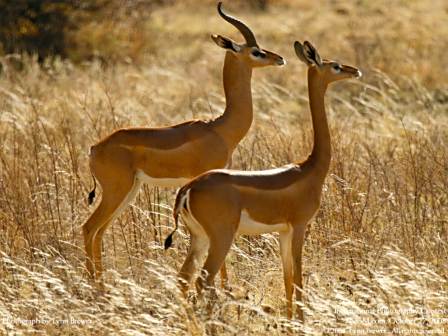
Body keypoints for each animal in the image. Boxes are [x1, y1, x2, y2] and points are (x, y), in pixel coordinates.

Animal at [81, 2, 284, 280]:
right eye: (256, 51)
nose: (280, 58)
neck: (219, 128)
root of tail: (95, 148)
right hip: (116, 191)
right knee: (89, 228)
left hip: (129, 190)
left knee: (100, 231)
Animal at [164, 40, 360, 320]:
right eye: (335, 66)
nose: (355, 71)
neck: (309, 168)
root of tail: (188, 189)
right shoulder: (299, 226)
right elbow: (298, 278)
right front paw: (301, 322)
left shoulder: (283, 232)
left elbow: (287, 278)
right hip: (221, 238)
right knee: (203, 280)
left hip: (199, 237)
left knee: (184, 278)